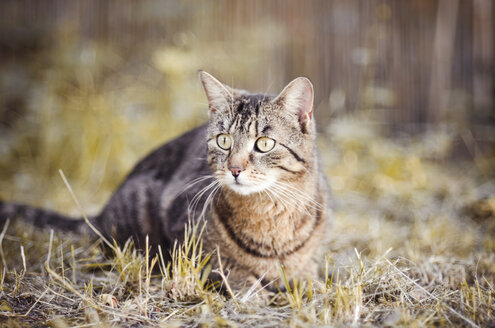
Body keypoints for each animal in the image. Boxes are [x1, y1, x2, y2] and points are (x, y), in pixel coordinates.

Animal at [1, 71, 334, 290]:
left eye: (264, 144)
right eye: (224, 140)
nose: (234, 169)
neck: (271, 217)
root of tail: (101, 212)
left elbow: (309, 275)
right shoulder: (187, 241)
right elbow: (230, 269)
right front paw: (252, 288)